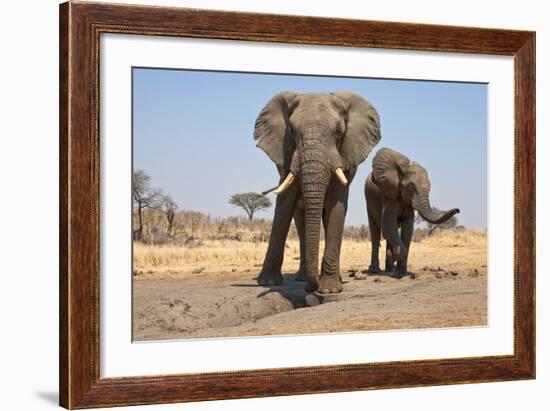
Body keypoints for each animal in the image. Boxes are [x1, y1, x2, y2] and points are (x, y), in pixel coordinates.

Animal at [256, 91, 382, 294]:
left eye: (338, 131)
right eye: (291, 131)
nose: (310, 288)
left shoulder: (344, 155)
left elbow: (337, 206)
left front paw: (329, 290)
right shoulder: (287, 154)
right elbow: (284, 206)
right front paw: (268, 282)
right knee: (301, 221)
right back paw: (302, 278)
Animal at [366, 148, 462, 280]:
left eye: (430, 188)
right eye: (410, 187)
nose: (458, 210)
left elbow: (408, 228)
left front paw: (401, 273)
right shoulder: (389, 197)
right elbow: (387, 225)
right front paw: (397, 260)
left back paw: (390, 269)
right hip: (368, 200)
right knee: (375, 232)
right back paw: (375, 270)